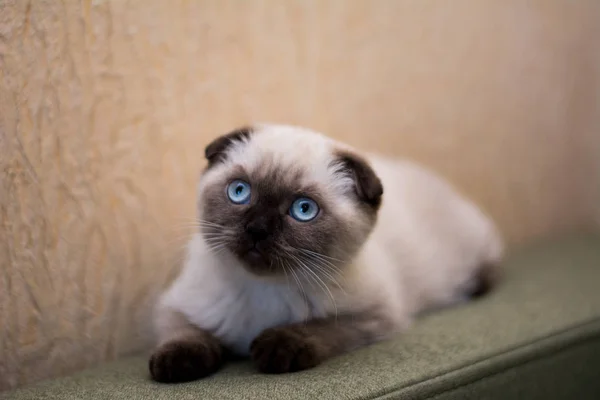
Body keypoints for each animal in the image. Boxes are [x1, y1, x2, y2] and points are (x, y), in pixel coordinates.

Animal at [149, 123, 502, 382]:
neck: (264, 288)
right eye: (239, 191)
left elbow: (317, 328)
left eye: (303, 210)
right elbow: (184, 334)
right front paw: (175, 365)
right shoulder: (174, 306)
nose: (257, 229)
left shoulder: (373, 317)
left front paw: (275, 348)